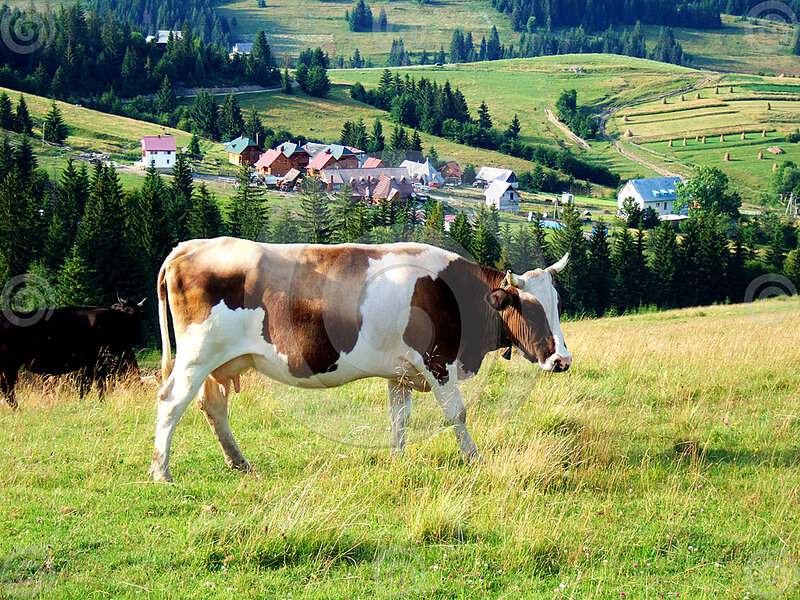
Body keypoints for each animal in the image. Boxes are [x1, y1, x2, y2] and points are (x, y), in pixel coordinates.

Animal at [0, 298, 144, 407]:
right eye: (123, 310)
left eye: (136, 312)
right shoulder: (96, 366)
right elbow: (94, 387)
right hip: (9, 366)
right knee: (8, 389)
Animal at [149, 238, 572, 482]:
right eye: (531, 310)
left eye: (557, 303)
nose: (562, 360)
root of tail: (184, 248)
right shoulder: (438, 363)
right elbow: (458, 414)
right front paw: (474, 459)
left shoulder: (401, 372)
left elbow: (399, 417)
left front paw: (398, 459)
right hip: (196, 356)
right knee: (171, 403)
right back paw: (161, 472)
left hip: (215, 362)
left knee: (212, 406)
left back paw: (239, 463)